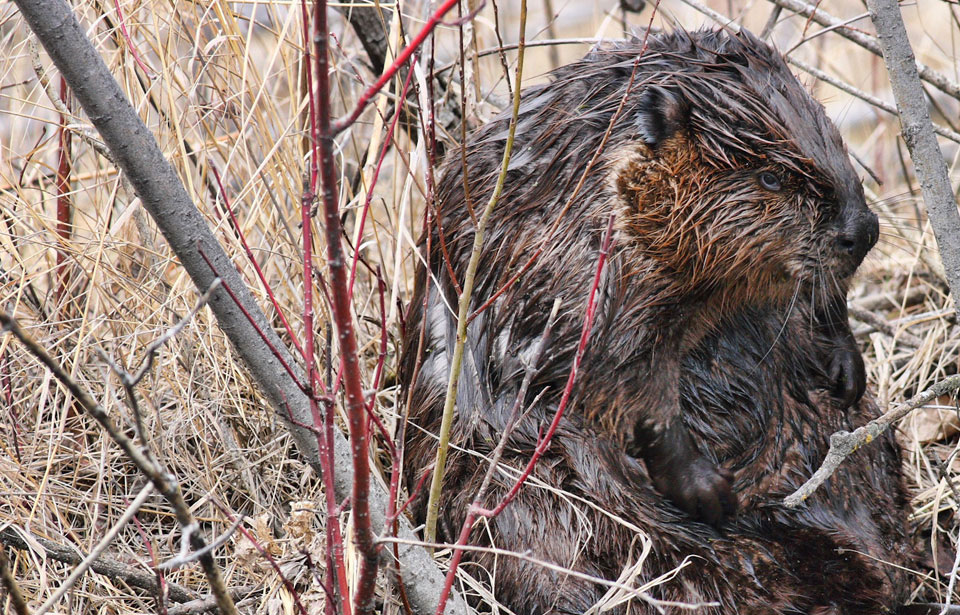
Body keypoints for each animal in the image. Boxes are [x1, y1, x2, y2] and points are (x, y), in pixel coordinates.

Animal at [402, 28, 920, 615]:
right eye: (770, 176)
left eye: (836, 138)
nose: (864, 230)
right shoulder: (577, 269)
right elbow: (623, 380)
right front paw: (712, 494)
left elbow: (816, 299)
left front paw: (847, 371)